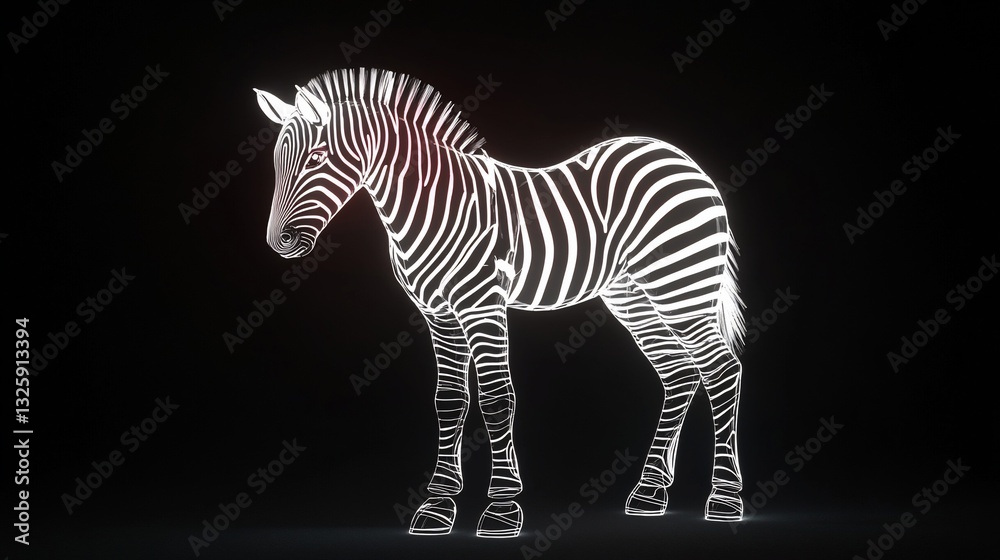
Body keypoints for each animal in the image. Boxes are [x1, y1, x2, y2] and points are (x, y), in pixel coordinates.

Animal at [255, 68, 746, 538]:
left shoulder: (482, 306)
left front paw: (502, 508)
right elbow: (449, 400)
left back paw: (725, 499)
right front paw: (438, 505)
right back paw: (649, 493)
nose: (278, 243)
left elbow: (497, 398)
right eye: (277, 161)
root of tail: (679, 156)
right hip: (633, 295)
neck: (430, 205)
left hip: (681, 286)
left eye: (317, 159)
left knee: (721, 370)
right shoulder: (438, 315)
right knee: (680, 374)